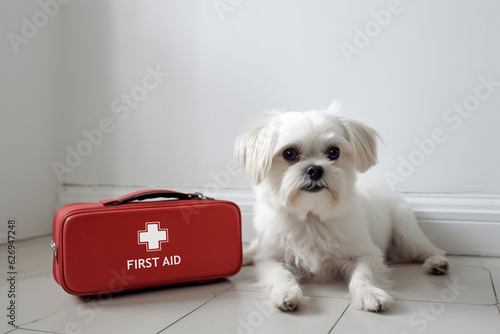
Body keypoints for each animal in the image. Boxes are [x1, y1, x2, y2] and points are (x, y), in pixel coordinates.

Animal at [234, 105, 450, 314]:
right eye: (289, 153)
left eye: (333, 152)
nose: (315, 169)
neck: (312, 215)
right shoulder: (270, 257)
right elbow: (279, 273)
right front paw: (285, 292)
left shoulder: (367, 254)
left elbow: (363, 274)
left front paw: (369, 294)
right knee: (255, 247)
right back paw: (246, 255)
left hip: (406, 233)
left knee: (428, 248)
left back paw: (437, 263)